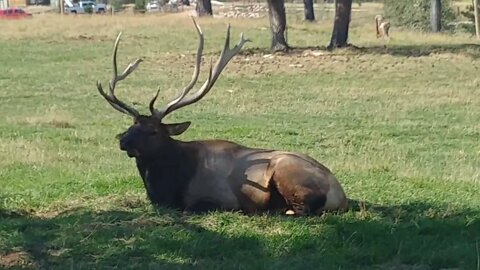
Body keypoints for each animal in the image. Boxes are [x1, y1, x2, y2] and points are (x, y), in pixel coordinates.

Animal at [96, 17, 348, 216]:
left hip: (287, 172)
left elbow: (192, 208)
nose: (123, 140)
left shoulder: (216, 198)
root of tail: (341, 196)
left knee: (301, 210)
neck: (166, 185)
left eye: (154, 131)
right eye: (133, 124)